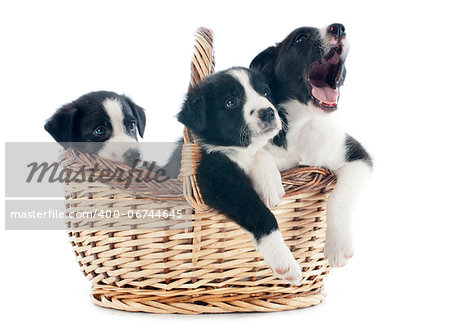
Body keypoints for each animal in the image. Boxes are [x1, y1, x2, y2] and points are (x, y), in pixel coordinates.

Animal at [178, 67, 302, 284]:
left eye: (265, 92)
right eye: (231, 102)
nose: (268, 112)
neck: (238, 150)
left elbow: (263, 153)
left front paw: (270, 187)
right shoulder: (216, 181)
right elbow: (261, 213)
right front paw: (284, 261)